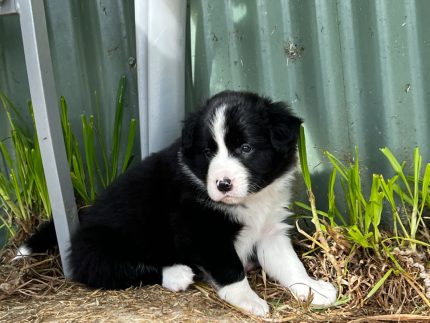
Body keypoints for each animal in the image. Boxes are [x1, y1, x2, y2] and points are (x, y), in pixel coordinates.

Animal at [18, 90, 338, 316]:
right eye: (208, 152)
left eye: (245, 148)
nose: (223, 184)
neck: (251, 199)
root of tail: (83, 219)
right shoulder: (202, 231)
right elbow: (230, 269)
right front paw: (249, 300)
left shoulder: (270, 229)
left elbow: (289, 264)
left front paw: (313, 290)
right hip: (97, 249)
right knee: (113, 269)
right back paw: (176, 273)